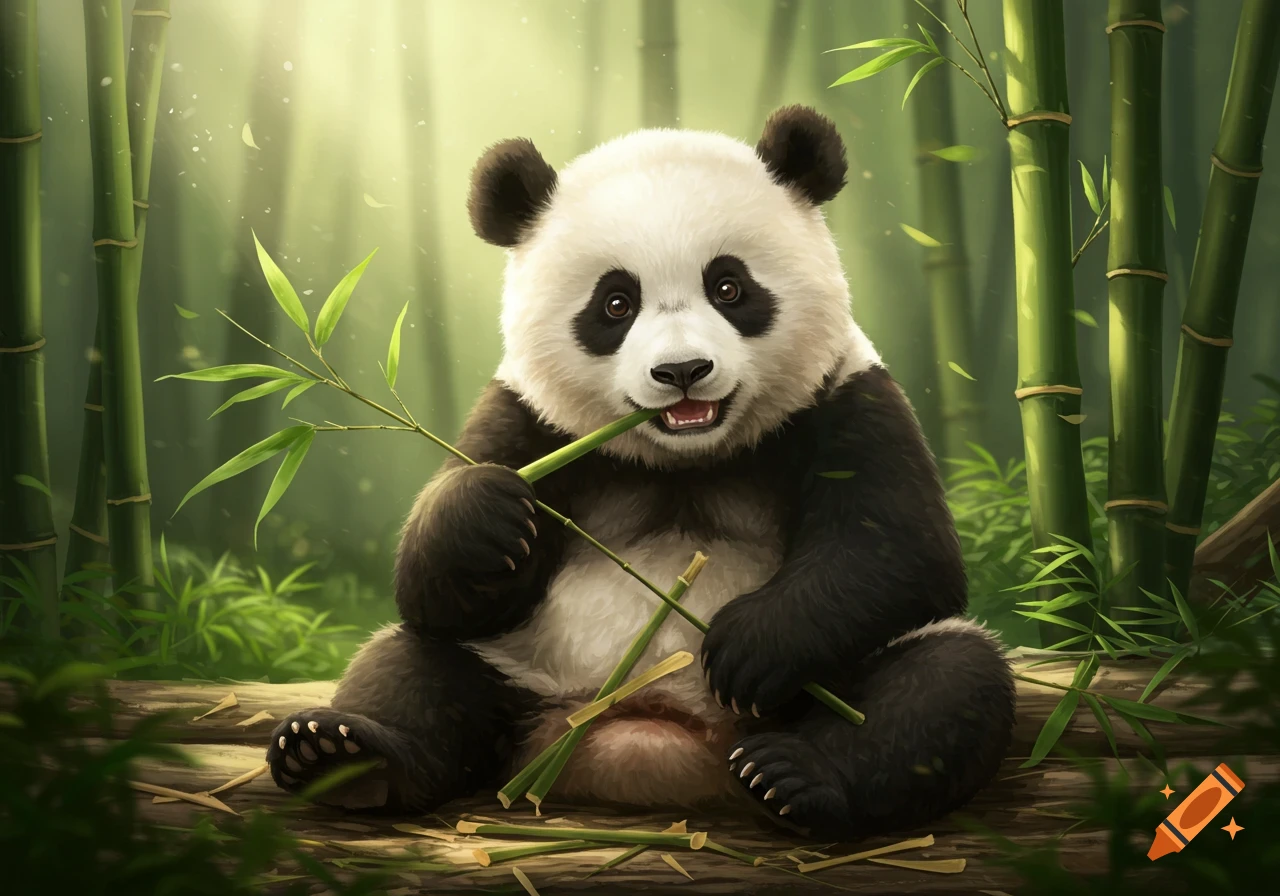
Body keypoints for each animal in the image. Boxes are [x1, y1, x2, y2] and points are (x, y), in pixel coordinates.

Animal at [267, 105, 1016, 838]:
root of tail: (654, 745)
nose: (682, 371)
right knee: (419, 661)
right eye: (615, 303)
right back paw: (340, 758)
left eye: (729, 286)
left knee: (942, 680)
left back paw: (795, 776)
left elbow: (898, 549)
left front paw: (749, 643)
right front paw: (487, 515)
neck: (684, 457)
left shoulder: (845, 398)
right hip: (525, 670)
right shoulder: (526, 418)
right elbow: (429, 589)